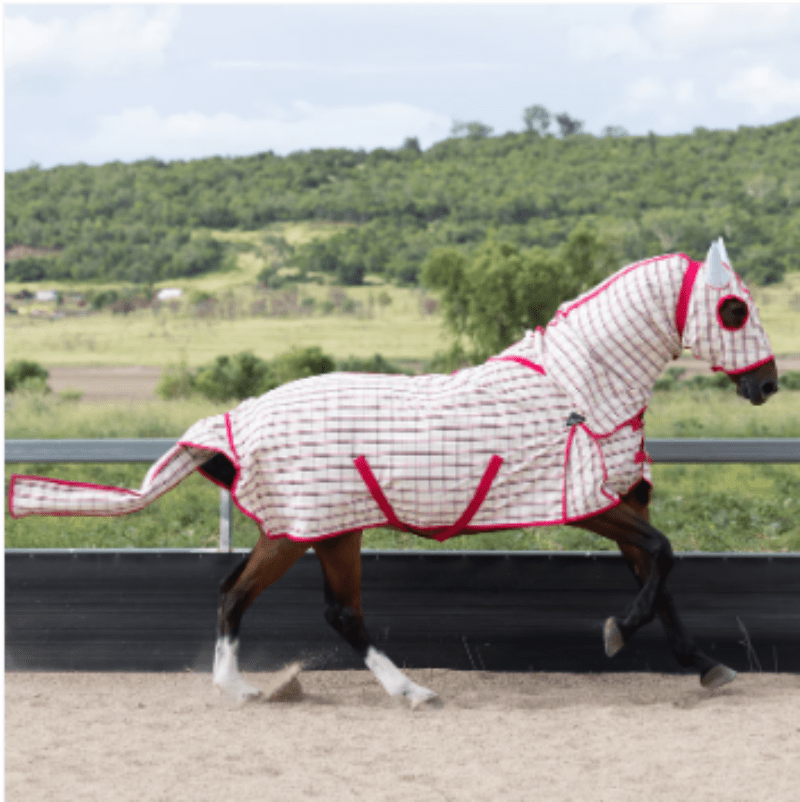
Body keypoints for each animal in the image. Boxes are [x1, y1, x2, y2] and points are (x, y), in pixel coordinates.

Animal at [9, 239, 779, 706]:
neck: (579, 392)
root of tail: (238, 417)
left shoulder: (621, 503)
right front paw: (618, 631)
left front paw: (704, 664)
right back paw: (346, 690)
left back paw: (339, 688)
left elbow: (661, 570)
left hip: (329, 531)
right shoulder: (588, 503)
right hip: (302, 529)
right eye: (734, 310)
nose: (768, 384)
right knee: (262, 599)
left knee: (309, 606)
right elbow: (662, 557)